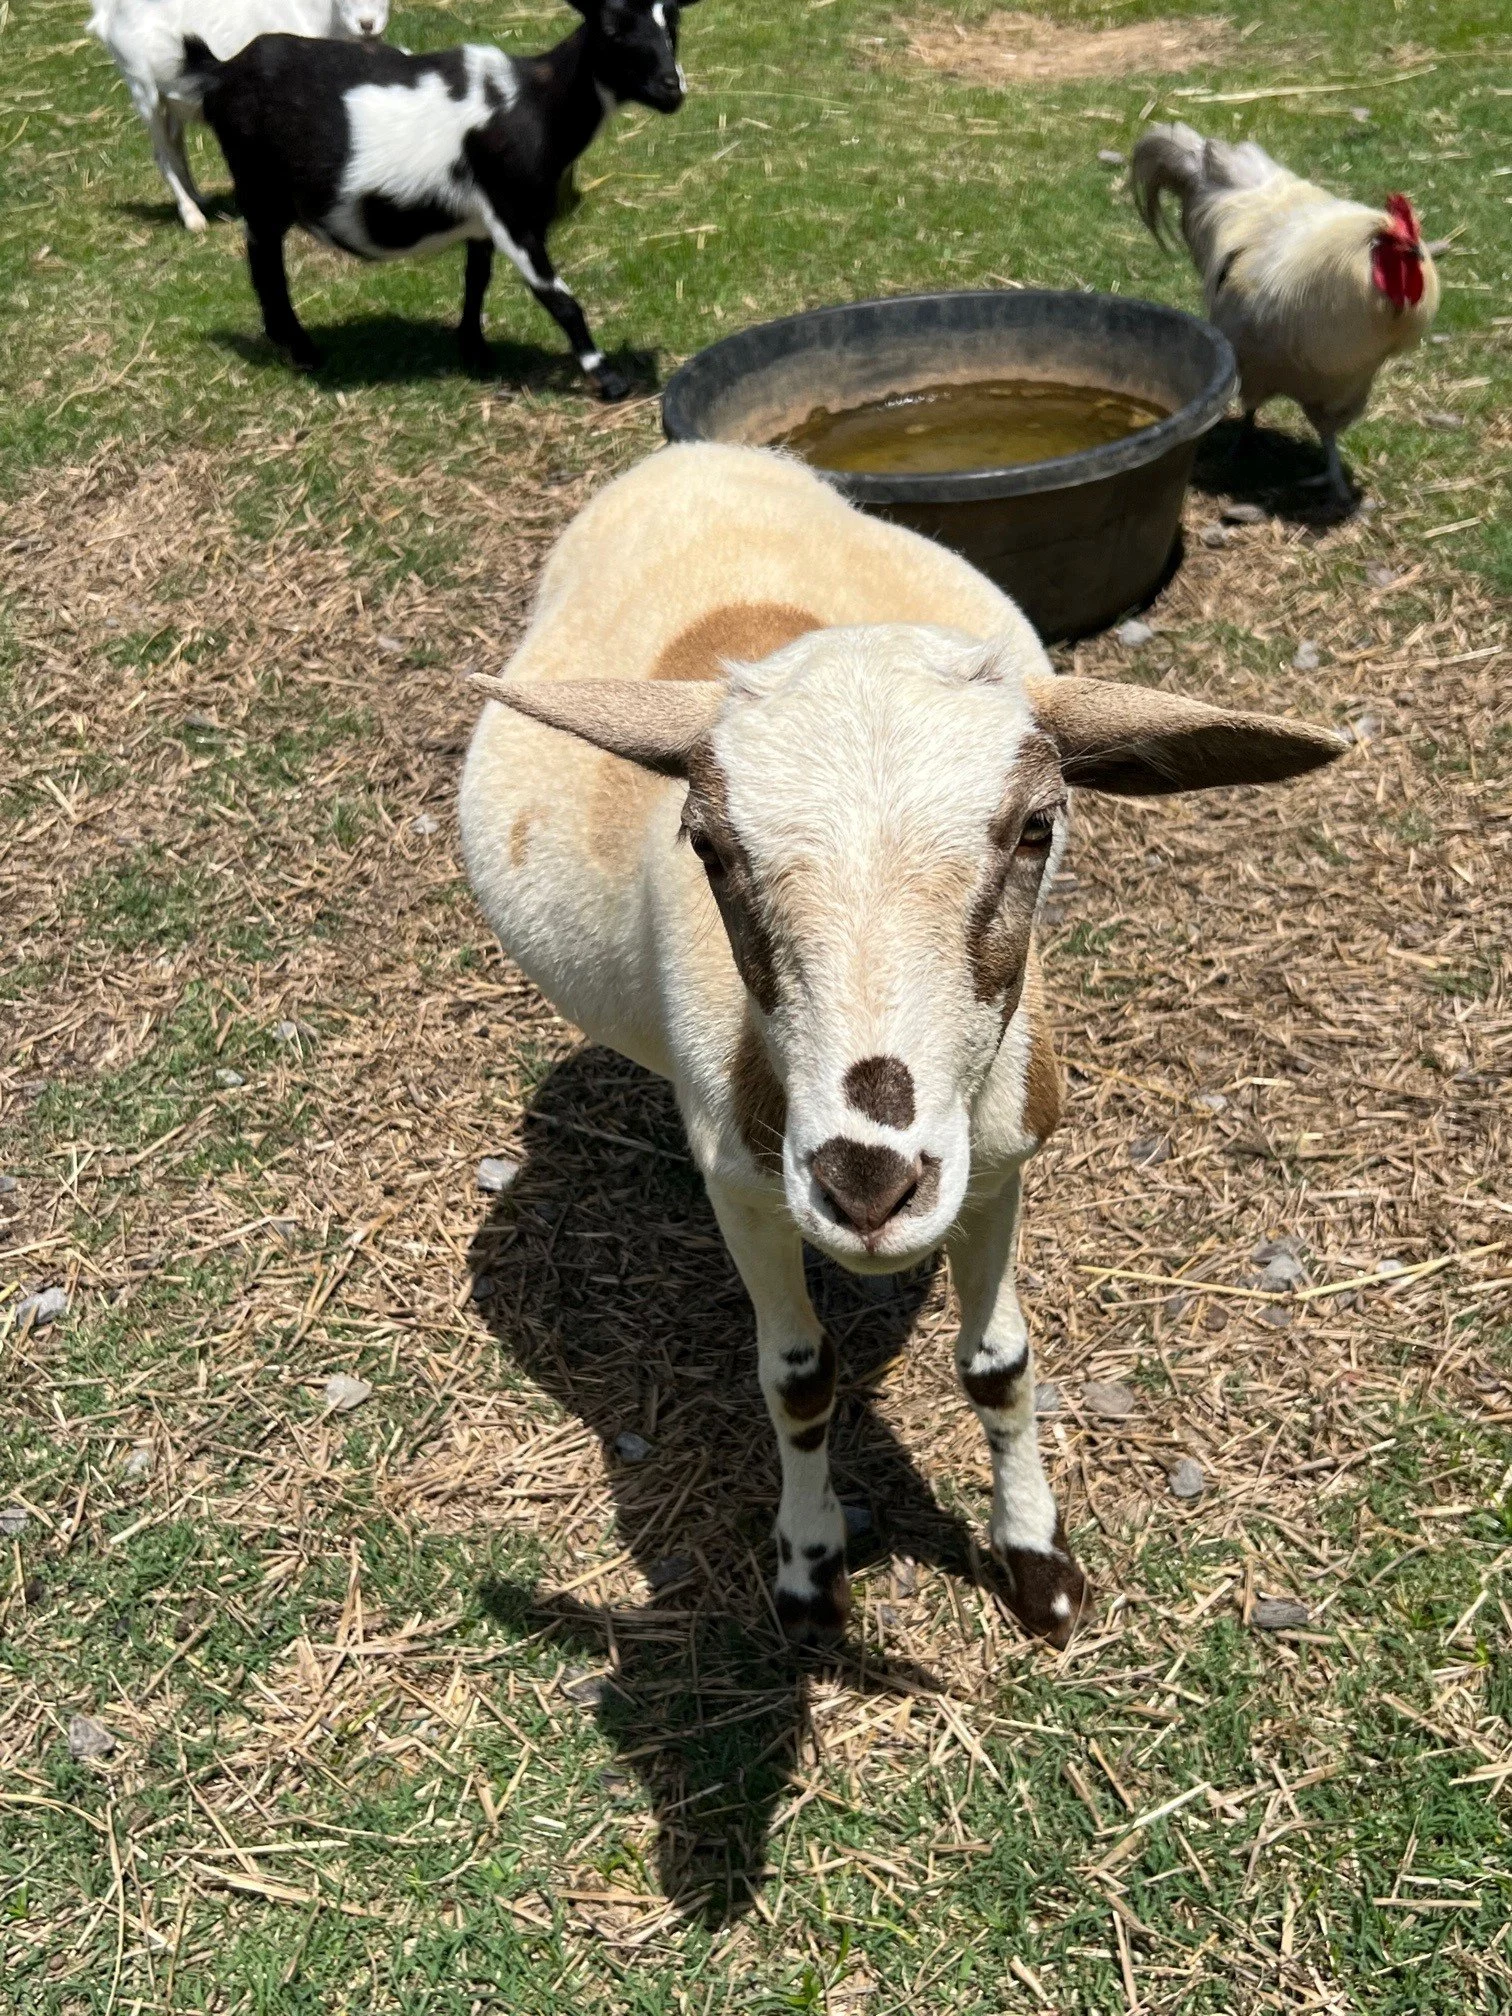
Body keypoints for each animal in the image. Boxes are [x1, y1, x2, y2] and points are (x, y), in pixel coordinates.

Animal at [90, 0, 389, 234]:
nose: (367, 24)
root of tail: (106, 14)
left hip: (172, 101)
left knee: (176, 146)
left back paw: (199, 198)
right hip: (143, 90)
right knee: (162, 154)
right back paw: (193, 218)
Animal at [175, 0, 698, 399]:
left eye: (671, 23)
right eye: (613, 27)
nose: (672, 90)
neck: (537, 104)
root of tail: (221, 71)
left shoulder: (484, 221)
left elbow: (477, 280)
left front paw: (475, 350)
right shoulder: (513, 211)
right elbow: (558, 297)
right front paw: (607, 378)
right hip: (258, 189)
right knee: (264, 264)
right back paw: (302, 351)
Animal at [458, 444, 1347, 1646]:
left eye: (1037, 828)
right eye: (709, 844)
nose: (868, 1183)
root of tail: (698, 451)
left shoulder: (998, 1162)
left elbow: (999, 1364)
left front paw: (1038, 1567)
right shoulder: (749, 1184)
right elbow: (796, 1377)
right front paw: (808, 1571)